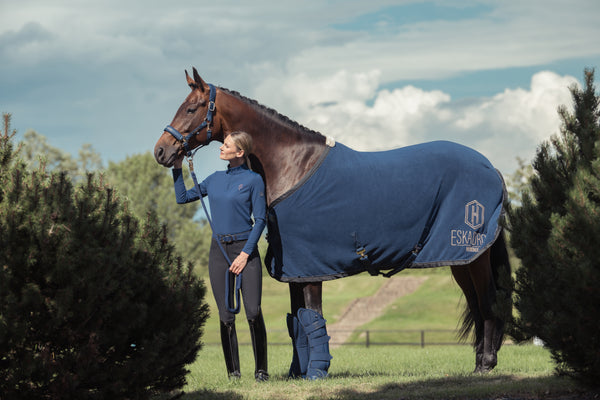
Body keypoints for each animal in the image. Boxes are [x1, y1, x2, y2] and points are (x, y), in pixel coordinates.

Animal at [154, 68, 510, 378]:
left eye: (192, 108)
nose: (161, 151)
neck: (293, 165)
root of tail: (490, 167)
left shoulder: (312, 268)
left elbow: (314, 318)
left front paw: (315, 373)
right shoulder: (295, 269)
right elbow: (297, 320)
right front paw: (296, 373)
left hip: (473, 255)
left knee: (487, 302)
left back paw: (486, 365)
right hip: (460, 260)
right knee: (476, 305)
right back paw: (478, 362)